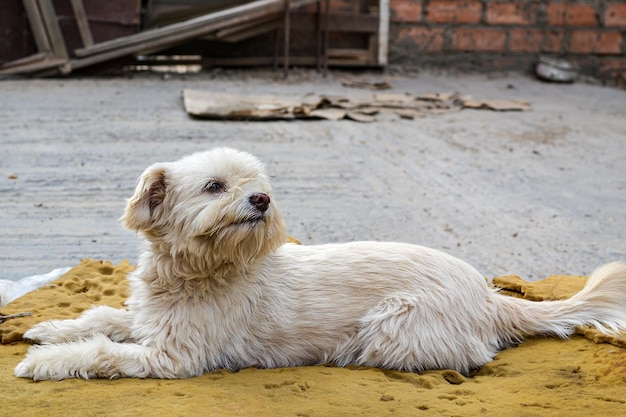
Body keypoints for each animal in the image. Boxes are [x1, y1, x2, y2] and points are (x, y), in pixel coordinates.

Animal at [13, 148, 624, 378]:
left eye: (259, 184)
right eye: (215, 186)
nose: (261, 200)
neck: (199, 270)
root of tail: (488, 296)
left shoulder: (173, 356)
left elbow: (101, 350)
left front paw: (43, 363)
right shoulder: (147, 320)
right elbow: (101, 319)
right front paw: (47, 329)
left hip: (393, 327)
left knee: (464, 356)